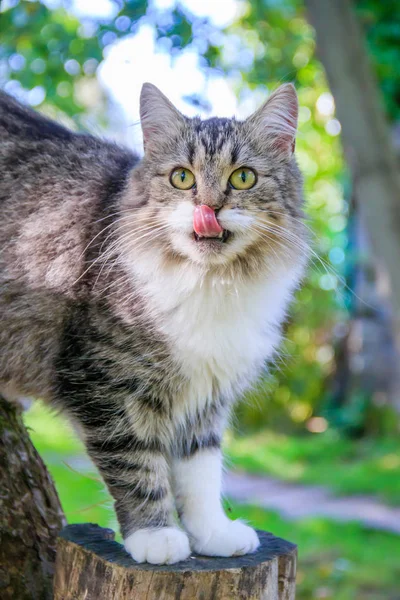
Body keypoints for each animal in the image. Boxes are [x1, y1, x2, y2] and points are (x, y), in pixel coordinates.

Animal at [0, 82, 310, 564]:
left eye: (243, 178)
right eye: (182, 178)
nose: (209, 207)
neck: (212, 284)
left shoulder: (207, 396)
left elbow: (201, 473)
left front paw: (212, 533)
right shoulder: (105, 384)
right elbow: (136, 466)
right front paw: (156, 535)